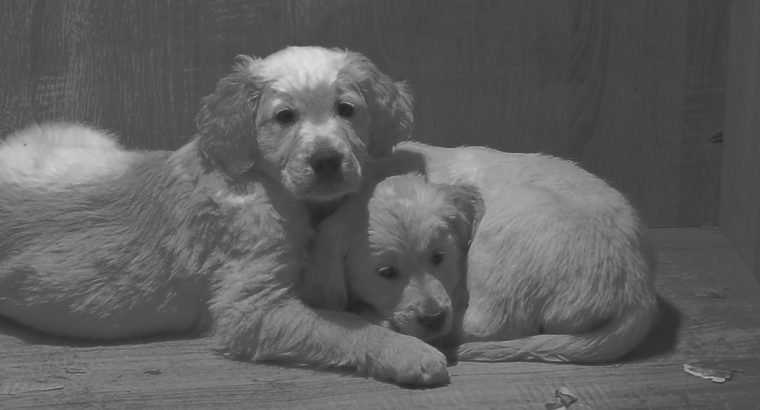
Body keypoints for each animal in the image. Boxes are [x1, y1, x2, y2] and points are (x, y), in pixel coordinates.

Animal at [0, 46, 452, 386]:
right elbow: (336, 325)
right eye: (284, 117)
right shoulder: (251, 308)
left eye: (346, 109)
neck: (264, 182)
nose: (326, 160)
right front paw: (409, 351)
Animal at [306, 143, 656, 366]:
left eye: (439, 256)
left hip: (507, 226)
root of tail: (640, 294)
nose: (433, 318)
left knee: (492, 324)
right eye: (386, 273)